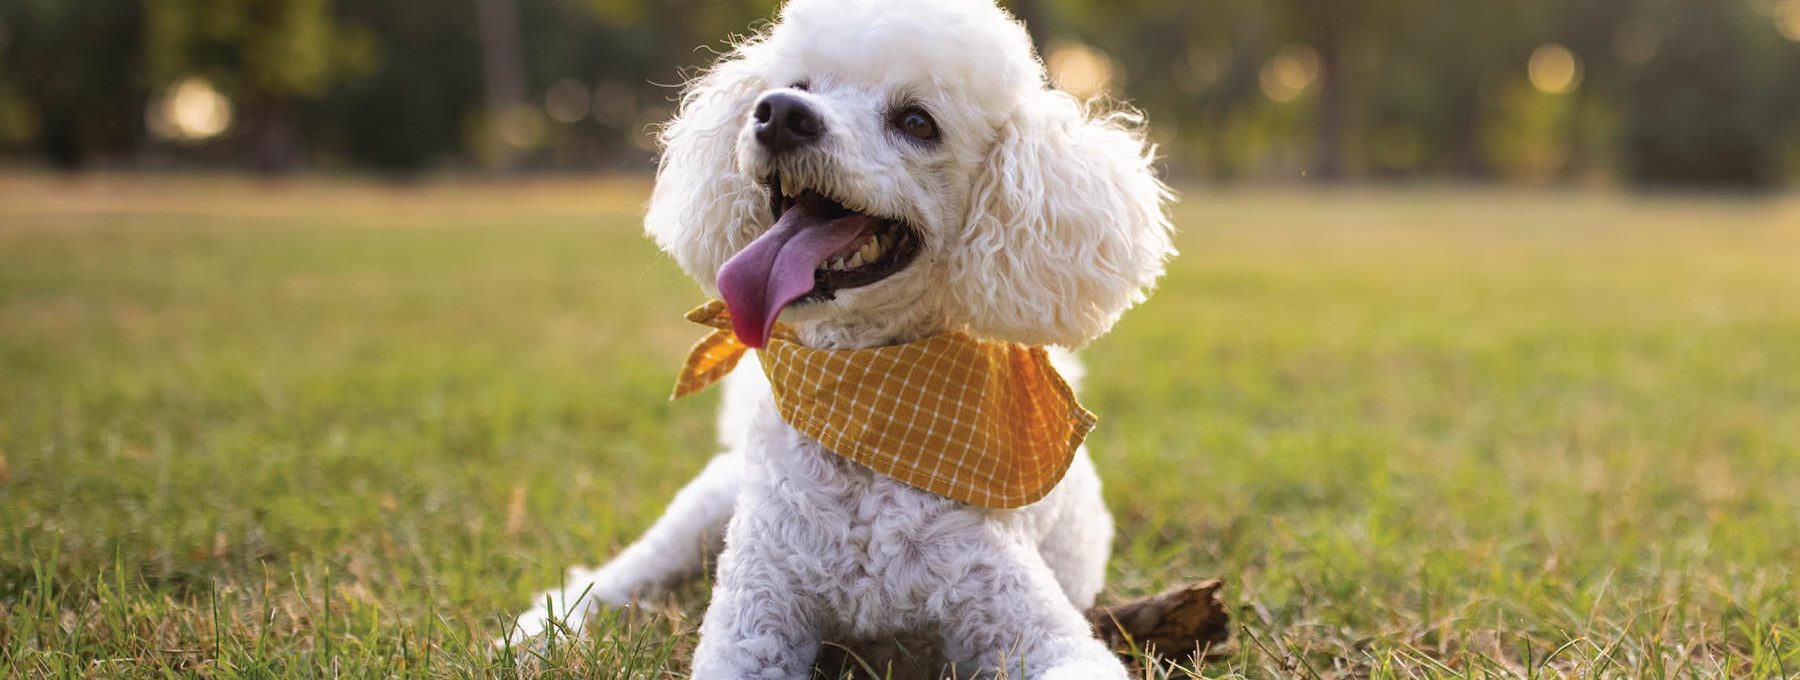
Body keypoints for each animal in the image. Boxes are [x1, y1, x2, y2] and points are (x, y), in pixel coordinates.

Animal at [507, 0, 1173, 676]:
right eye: (798, 86)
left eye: (916, 122)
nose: (779, 115)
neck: (861, 411)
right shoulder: (754, 621)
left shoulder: (1031, 625)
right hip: (710, 506)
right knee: (627, 572)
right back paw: (544, 632)